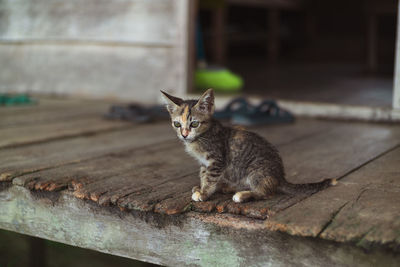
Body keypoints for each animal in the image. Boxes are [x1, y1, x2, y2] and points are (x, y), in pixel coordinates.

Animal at [161, 89, 336, 203]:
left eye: (194, 124)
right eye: (177, 124)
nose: (184, 134)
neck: (202, 137)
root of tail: (280, 177)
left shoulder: (216, 159)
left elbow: (210, 178)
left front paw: (204, 193)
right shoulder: (205, 163)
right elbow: (204, 175)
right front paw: (202, 188)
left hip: (256, 171)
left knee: (267, 193)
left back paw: (243, 195)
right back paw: (229, 187)